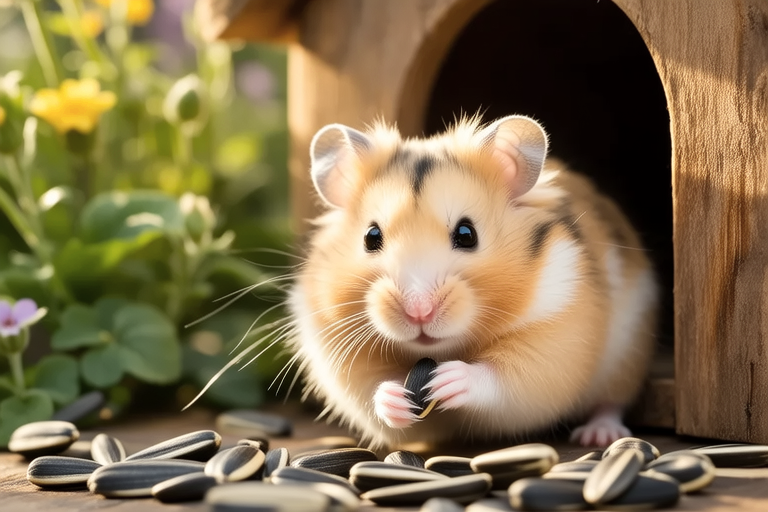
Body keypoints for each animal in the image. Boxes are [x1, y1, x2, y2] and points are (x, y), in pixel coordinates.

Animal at [287, 115, 658, 449]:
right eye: (371, 237)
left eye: (467, 234)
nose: (418, 312)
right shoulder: (338, 351)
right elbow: (373, 391)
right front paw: (395, 397)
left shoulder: (555, 339)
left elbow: (501, 378)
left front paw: (449, 379)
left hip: (626, 357)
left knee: (611, 403)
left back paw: (598, 435)